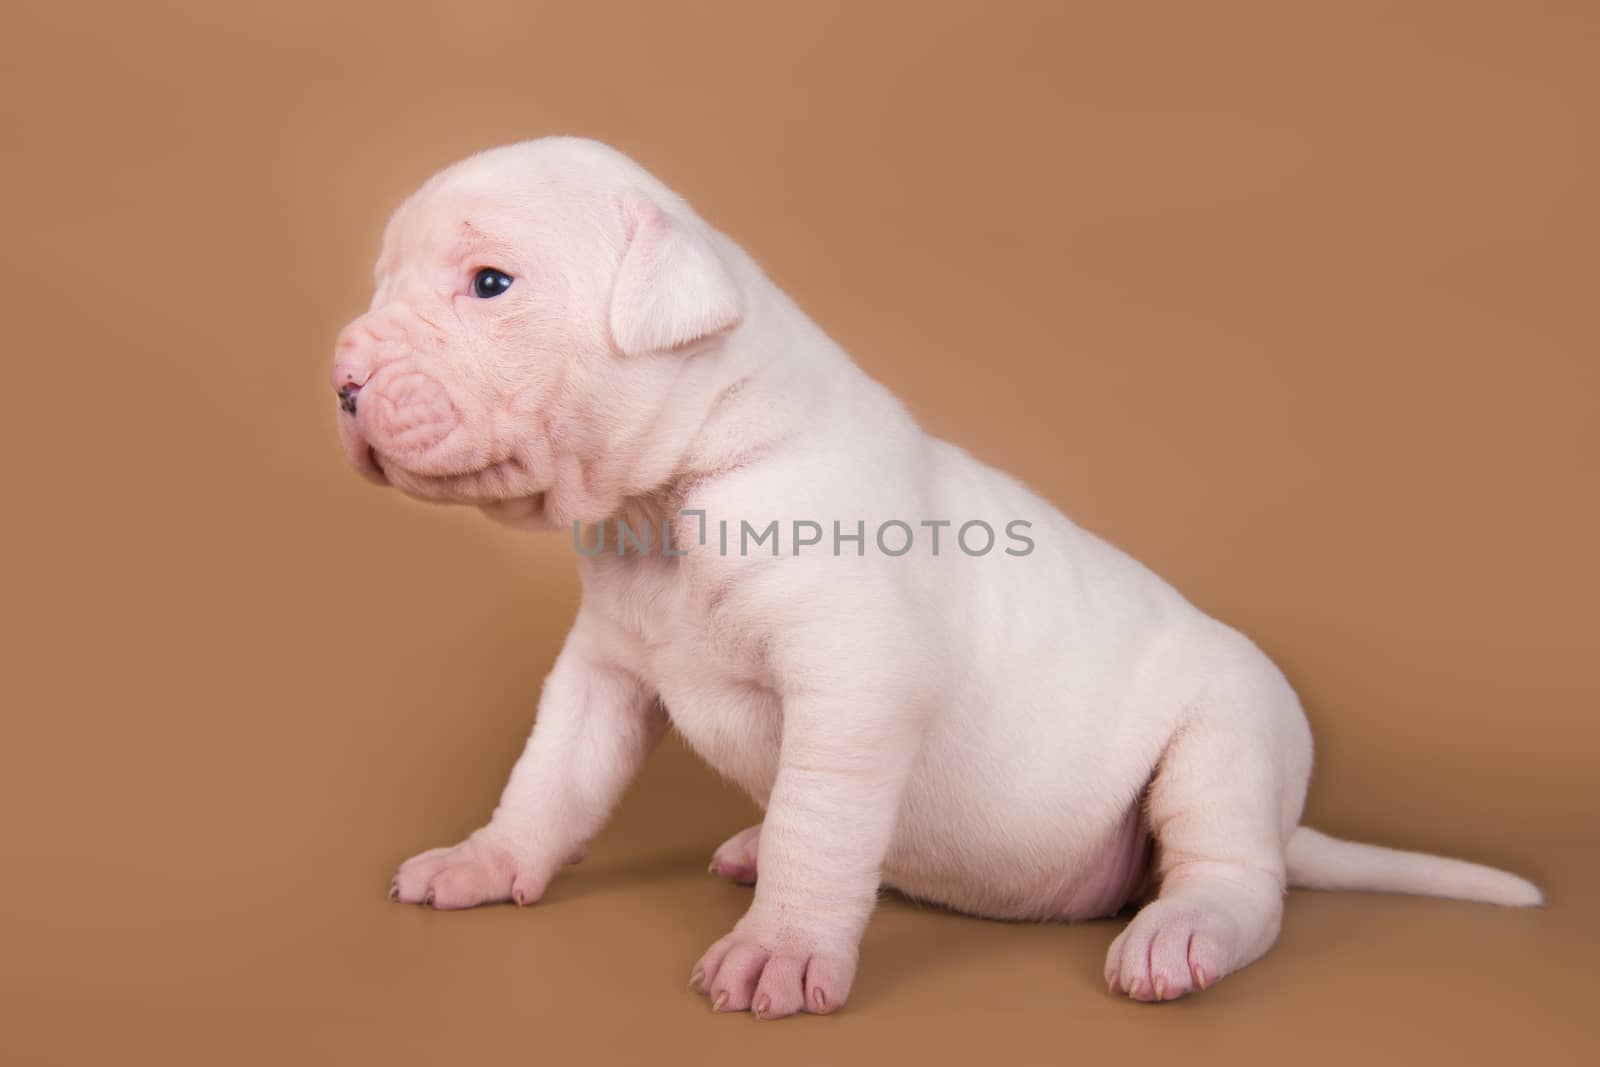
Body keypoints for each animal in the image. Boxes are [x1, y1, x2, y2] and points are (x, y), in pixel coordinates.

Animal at [331, 139, 1542, 1017]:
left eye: (489, 283)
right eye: (380, 281)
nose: (340, 373)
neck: (680, 490)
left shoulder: (853, 687)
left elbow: (820, 827)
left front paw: (779, 950)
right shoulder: (602, 676)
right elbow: (550, 780)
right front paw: (487, 861)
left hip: (1229, 737)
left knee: (1238, 880)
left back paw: (1176, 932)